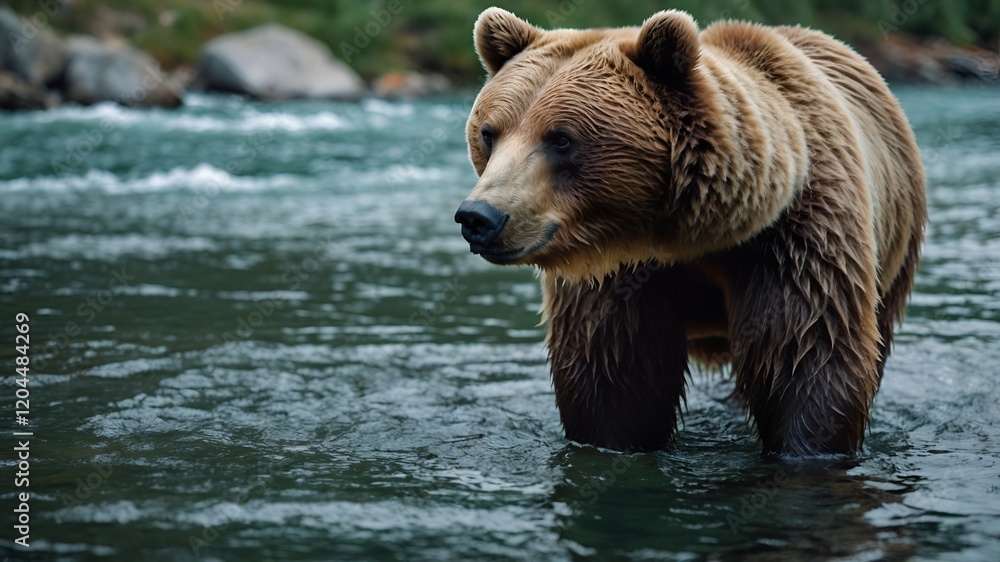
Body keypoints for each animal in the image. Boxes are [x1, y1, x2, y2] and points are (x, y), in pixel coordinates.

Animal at [454, 8, 926, 456]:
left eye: (561, 138)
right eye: (489, 133)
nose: (479, 217)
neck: (695, 237)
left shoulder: (796, 237)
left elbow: (806, 353)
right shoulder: (615, 272)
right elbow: (615, 377)